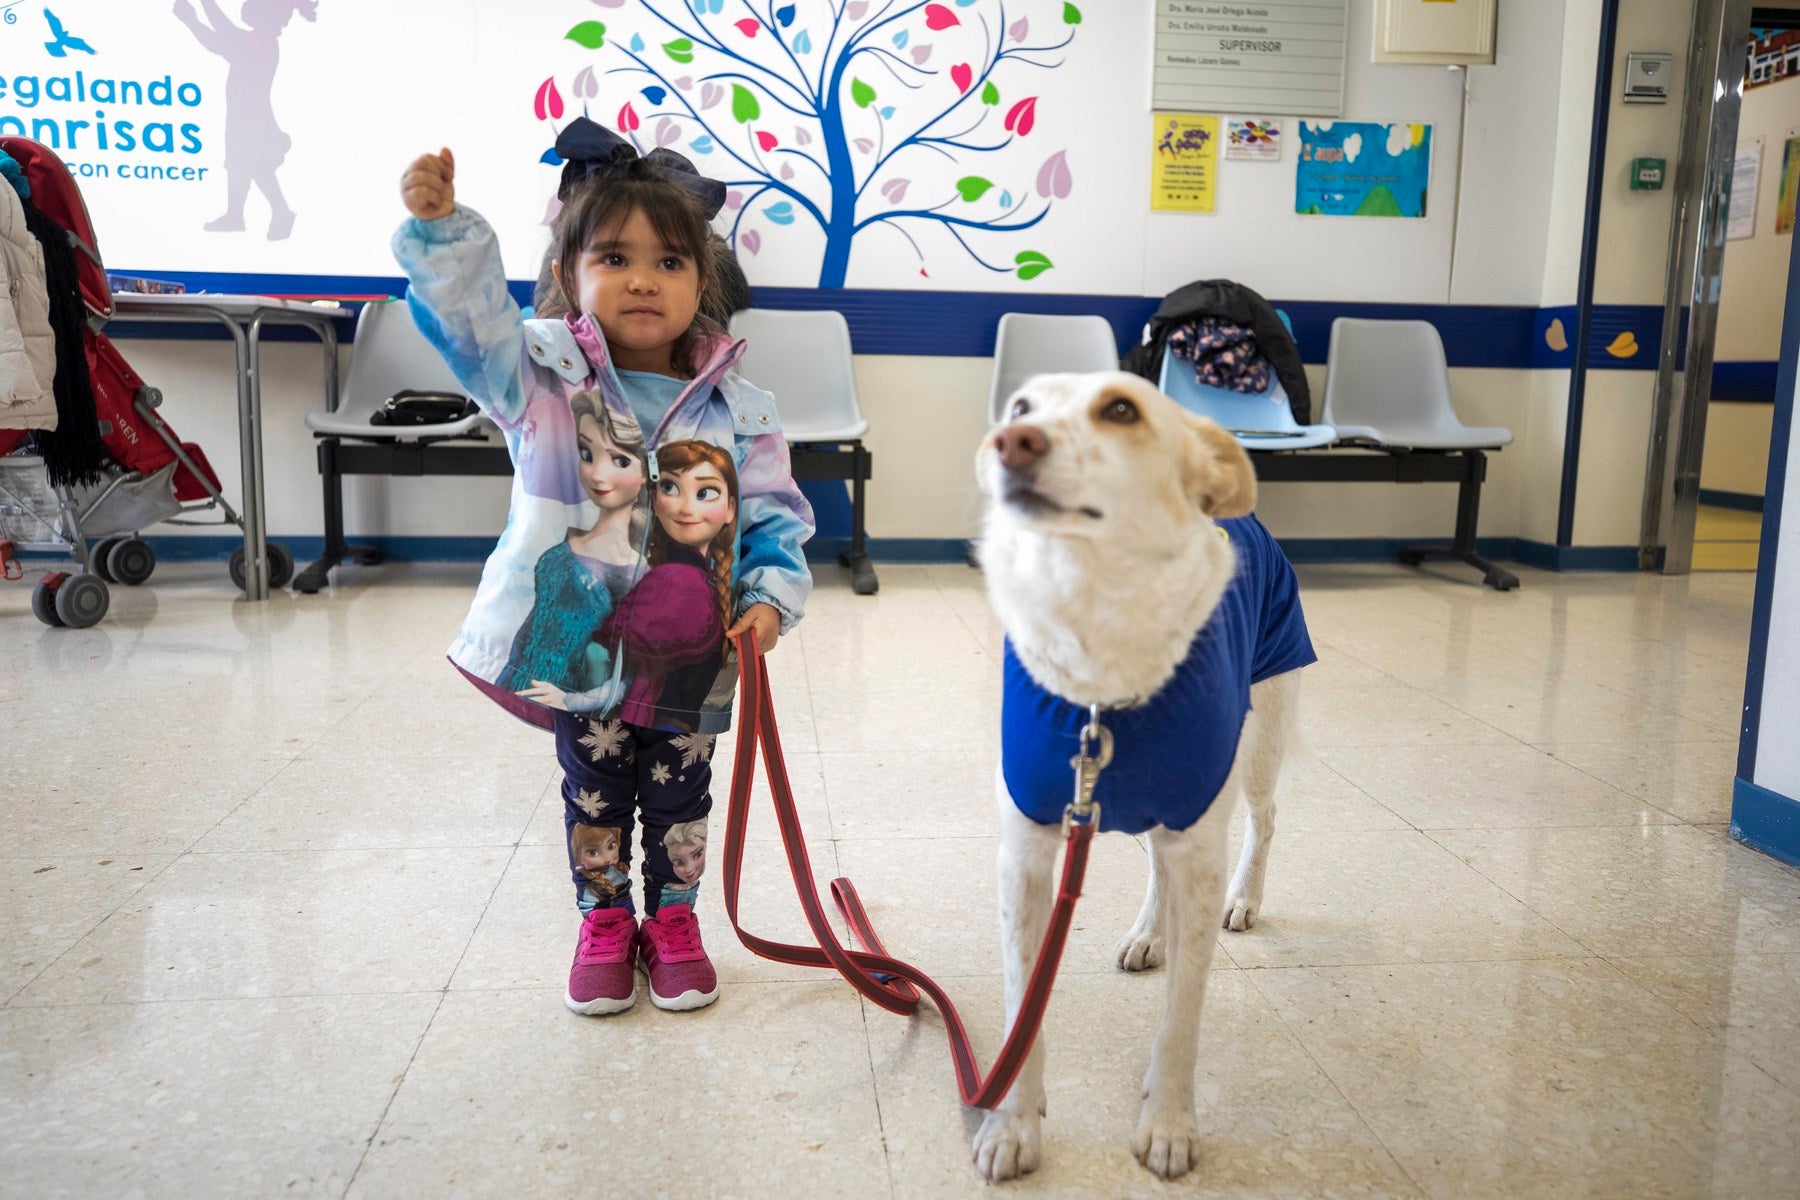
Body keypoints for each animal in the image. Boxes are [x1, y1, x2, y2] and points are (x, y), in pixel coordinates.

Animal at [972, 372, 1310, 1180]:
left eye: (1121, 408)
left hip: (1257, 741)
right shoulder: (1026, 856)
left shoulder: (1200, 845)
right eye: (1019, 408)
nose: (1010, 441)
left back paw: (1246, 898)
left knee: (1264, 819)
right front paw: (1012, 1125)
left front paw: (1169, 1124)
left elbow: (1182, 1018)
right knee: (1158, 862)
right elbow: (1021, 1002)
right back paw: (1148, 935)